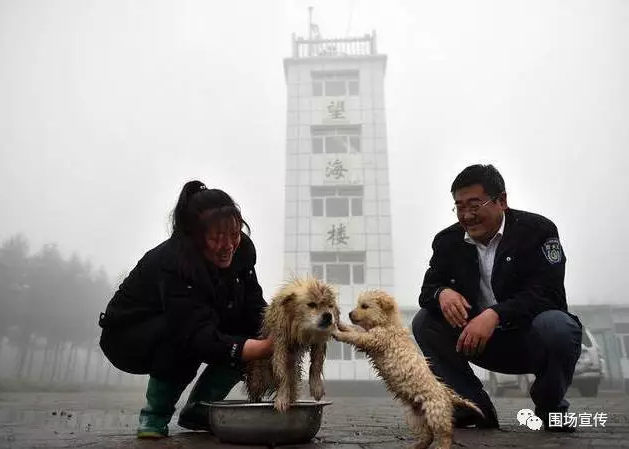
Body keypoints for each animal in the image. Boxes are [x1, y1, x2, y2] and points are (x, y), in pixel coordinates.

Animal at [244, 276, 340, 412]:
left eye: (330, 306)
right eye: (312, 304)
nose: (328, 316)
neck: (301, 326)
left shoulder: (319, 341)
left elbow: (316, 364)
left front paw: (316, 387)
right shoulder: (279, 343)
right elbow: (282, 373)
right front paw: (282, 398)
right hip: (257, 378)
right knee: (255, 391)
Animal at [332, 289, 484, 449]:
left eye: (364, 306)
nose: (349, 314)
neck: (387, 323)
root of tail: (447, 394)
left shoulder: (374, 339)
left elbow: (354, 335)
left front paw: (337, 332)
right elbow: (353, 329)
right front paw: (340, 323)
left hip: (435, 411)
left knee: (446, 433)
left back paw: (442, 446)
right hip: (415, 416)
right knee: (427, 436)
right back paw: (416, 446)